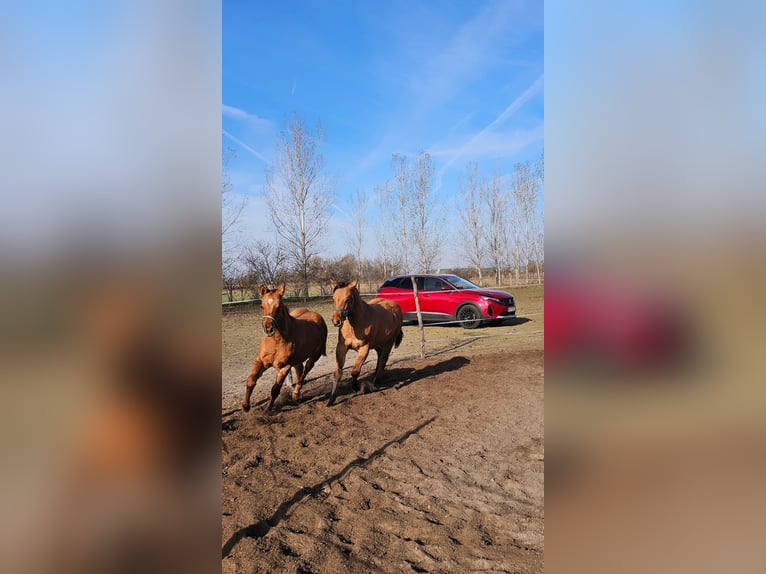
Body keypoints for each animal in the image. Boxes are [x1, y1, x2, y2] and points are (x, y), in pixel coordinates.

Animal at [241, 284, 328, 412]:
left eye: (278, 306)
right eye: (261, 306)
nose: (269, 329)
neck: (276, 342)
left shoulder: (285, 367)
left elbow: (275, 389)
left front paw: (268, 409)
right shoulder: (261, 361)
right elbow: (251, 380)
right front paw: (245, 406)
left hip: (314, 356)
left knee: (305, 372)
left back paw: (296, 394)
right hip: (298, 358)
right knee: (299, 370)